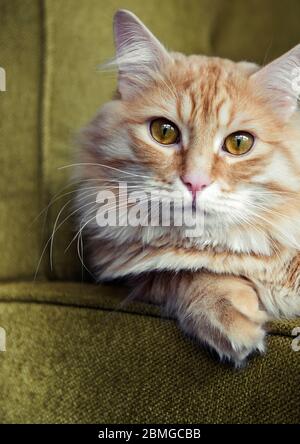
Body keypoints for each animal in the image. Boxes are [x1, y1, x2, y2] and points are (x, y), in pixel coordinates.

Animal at [74, 9, 300, 368]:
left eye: (239, 143)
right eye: (164, 132)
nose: (195, 182)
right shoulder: (143, 275)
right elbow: (189, 274)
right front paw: (229, 319)